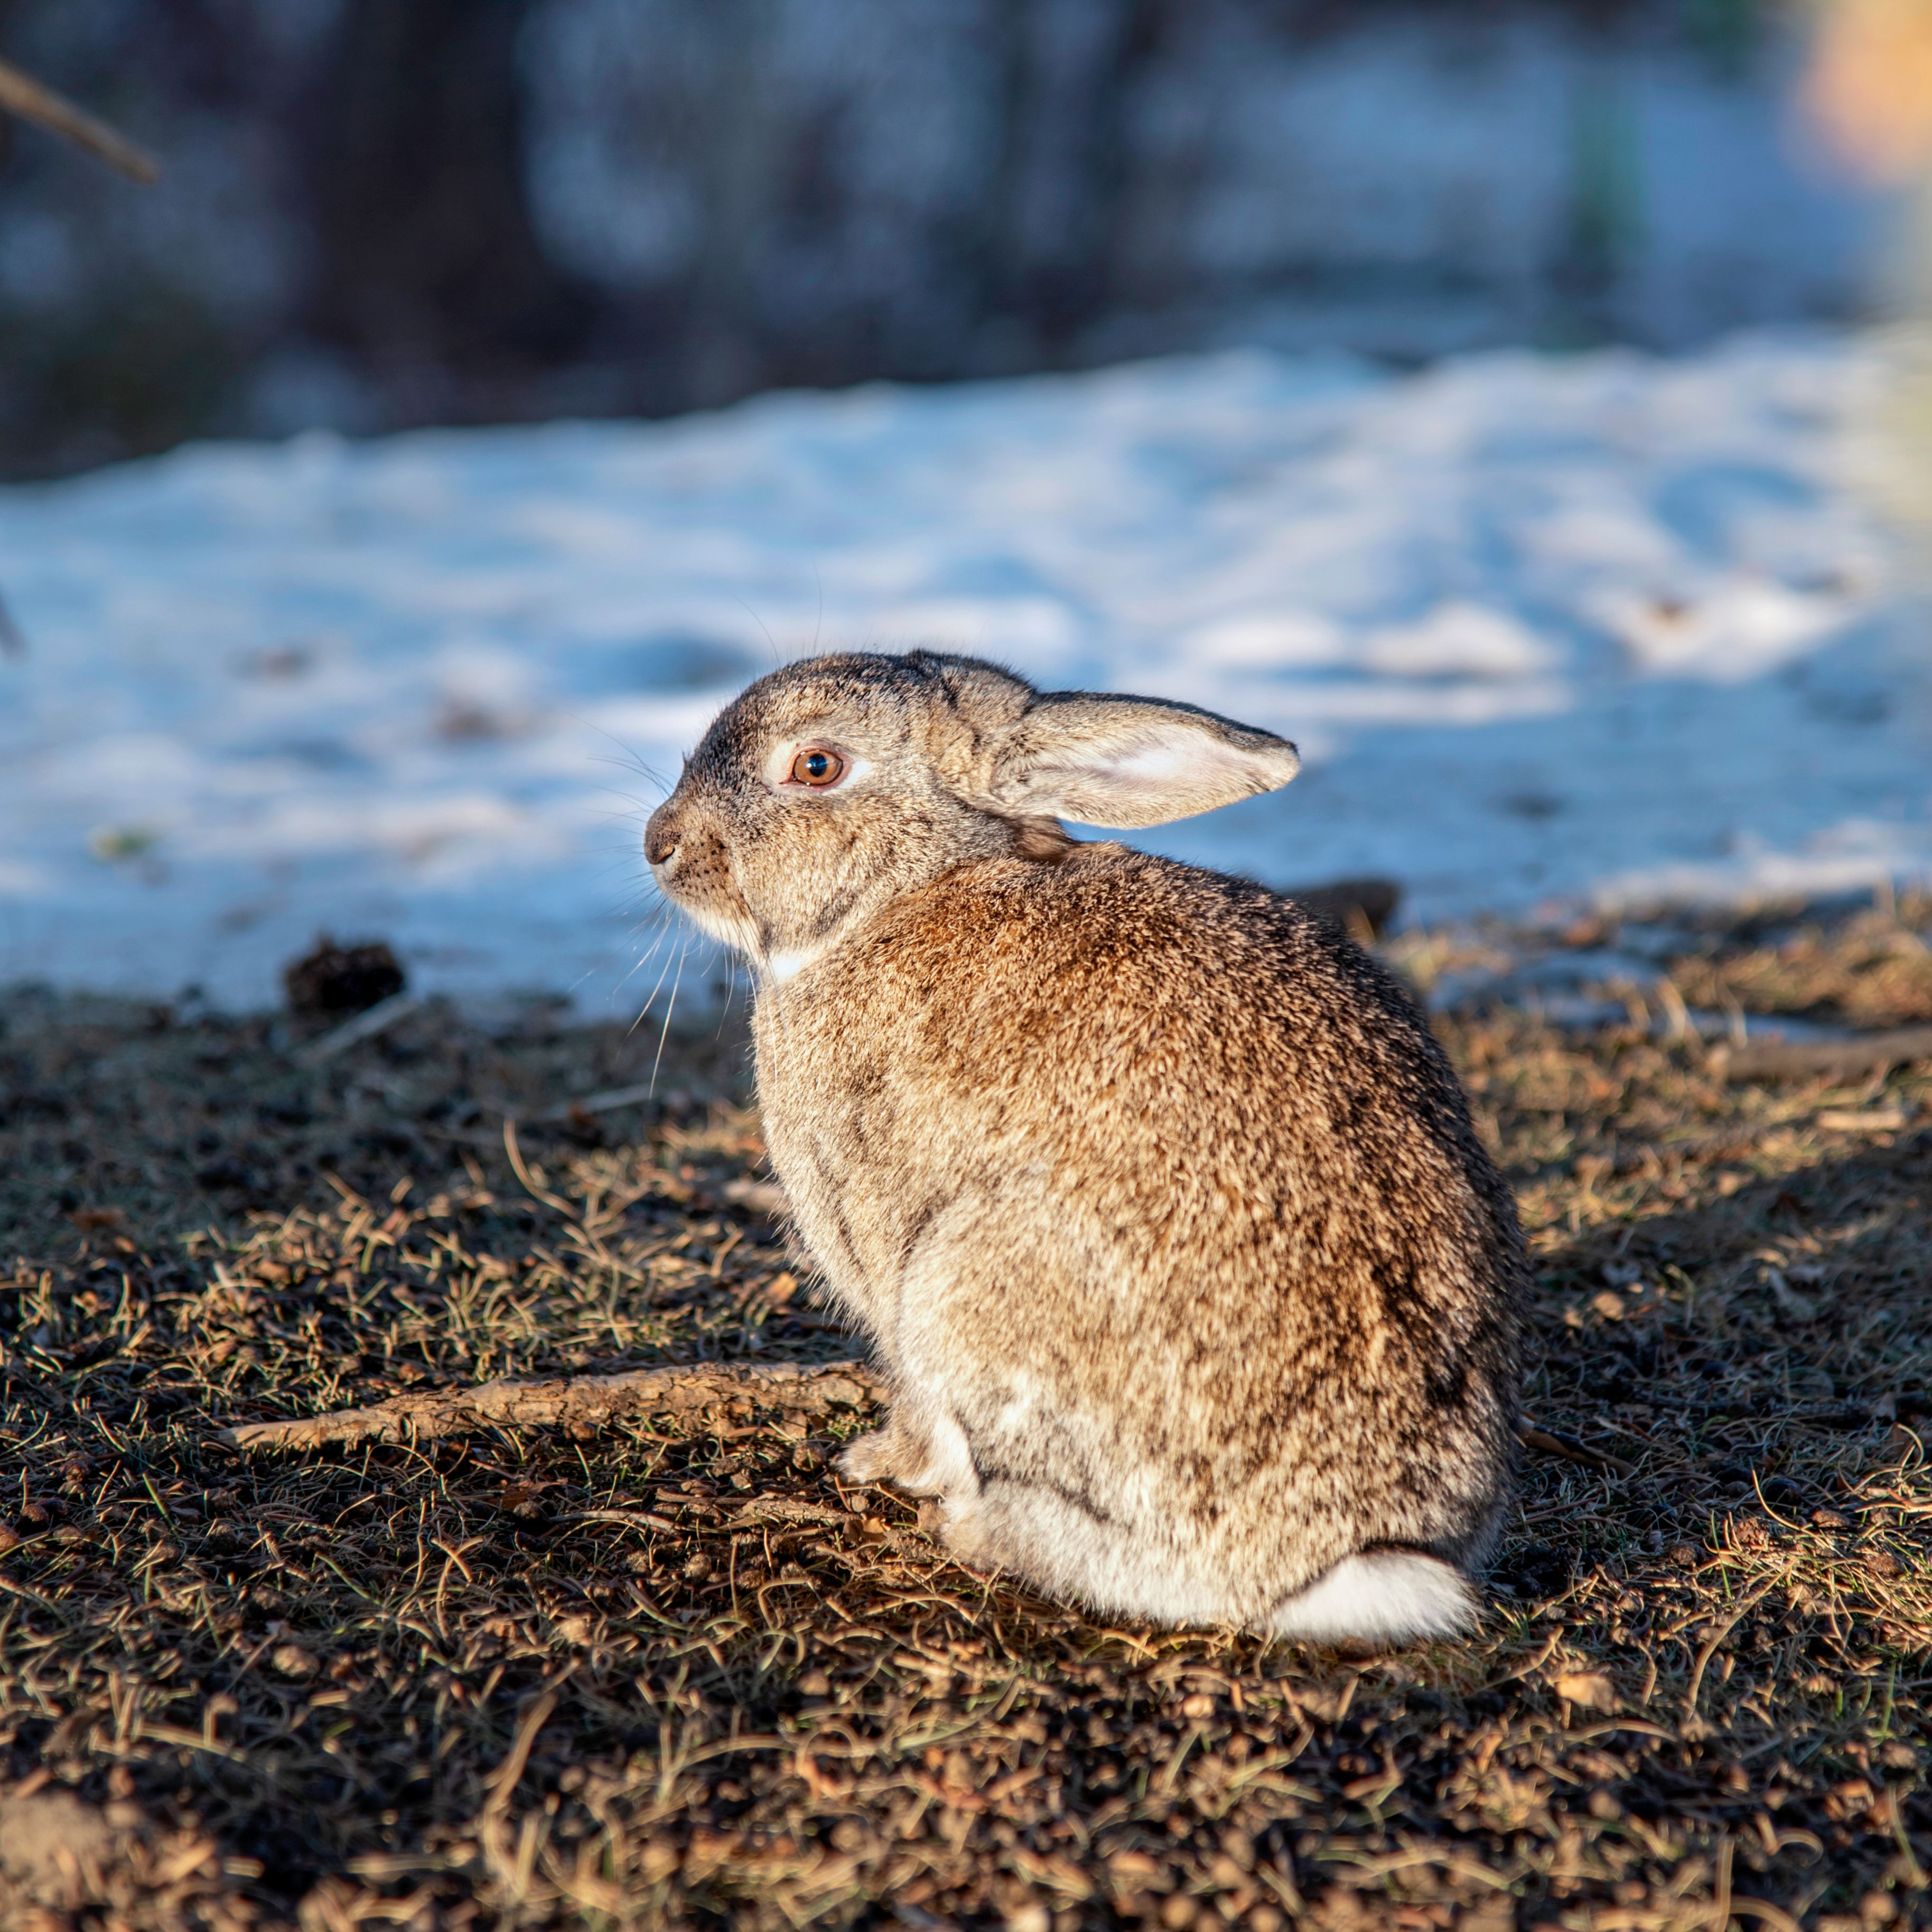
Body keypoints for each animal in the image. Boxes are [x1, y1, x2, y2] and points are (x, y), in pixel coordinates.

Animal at [643, 650, 1523, 1644]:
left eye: (816, 766)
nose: (659, 842)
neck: (899, 892)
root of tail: (1346, 1558)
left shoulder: (876, 1252)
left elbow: (913, 1402)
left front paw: (876, 1458)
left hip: (963, 1286)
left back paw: (971, 1528)